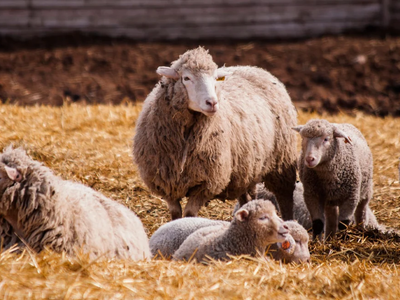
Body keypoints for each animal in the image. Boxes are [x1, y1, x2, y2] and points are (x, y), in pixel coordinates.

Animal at [133, 46, 298, 220]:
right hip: (246, 169)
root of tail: (254, 68)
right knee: (248, 197)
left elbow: (190, 214)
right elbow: (176, 214)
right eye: (186, 78)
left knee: (285, 197)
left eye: (214, 79)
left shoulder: (206, 184)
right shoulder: (166, 184)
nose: (212, 103)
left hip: (282, 161)